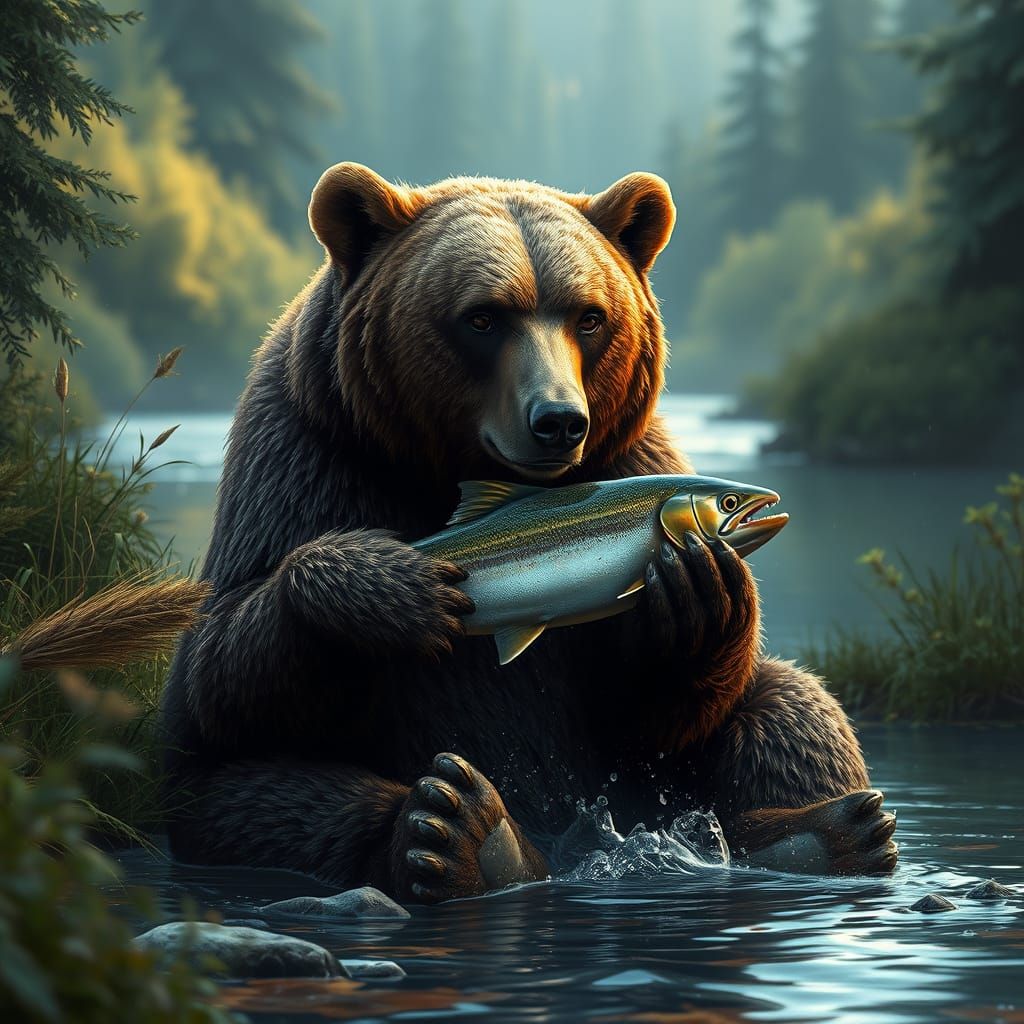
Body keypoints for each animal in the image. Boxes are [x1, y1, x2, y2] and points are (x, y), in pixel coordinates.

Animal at [162, 163, 898, 902]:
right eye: (482, 318)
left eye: (590, 317)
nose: (560, 421)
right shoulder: (302, 455)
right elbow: (216, 676)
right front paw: (380, 582)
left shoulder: (634, 454)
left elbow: (648, 711)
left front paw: (703, 597)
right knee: (245, 791)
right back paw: (460, 833)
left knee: (790, 705)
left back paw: (828, 833)